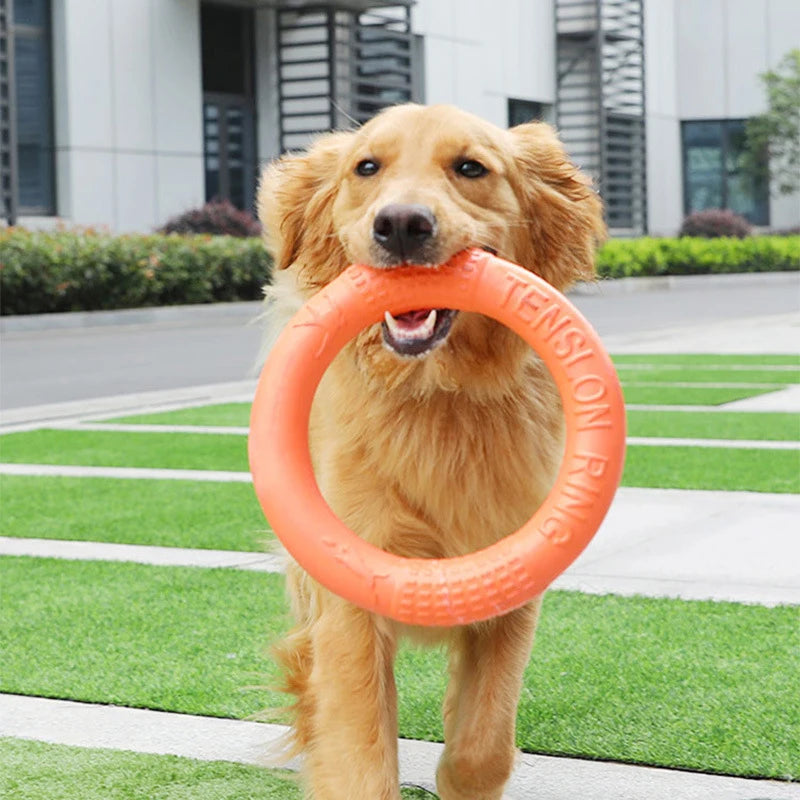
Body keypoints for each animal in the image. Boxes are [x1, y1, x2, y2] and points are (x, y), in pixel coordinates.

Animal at [260, 103, 604, 796]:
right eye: (366, 166)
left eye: (470, 167)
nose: (400, 224)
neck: (437, 391)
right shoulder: (352, 590)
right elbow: (360, 744)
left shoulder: (513, 581)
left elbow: (484, 741)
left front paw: (462, 775)